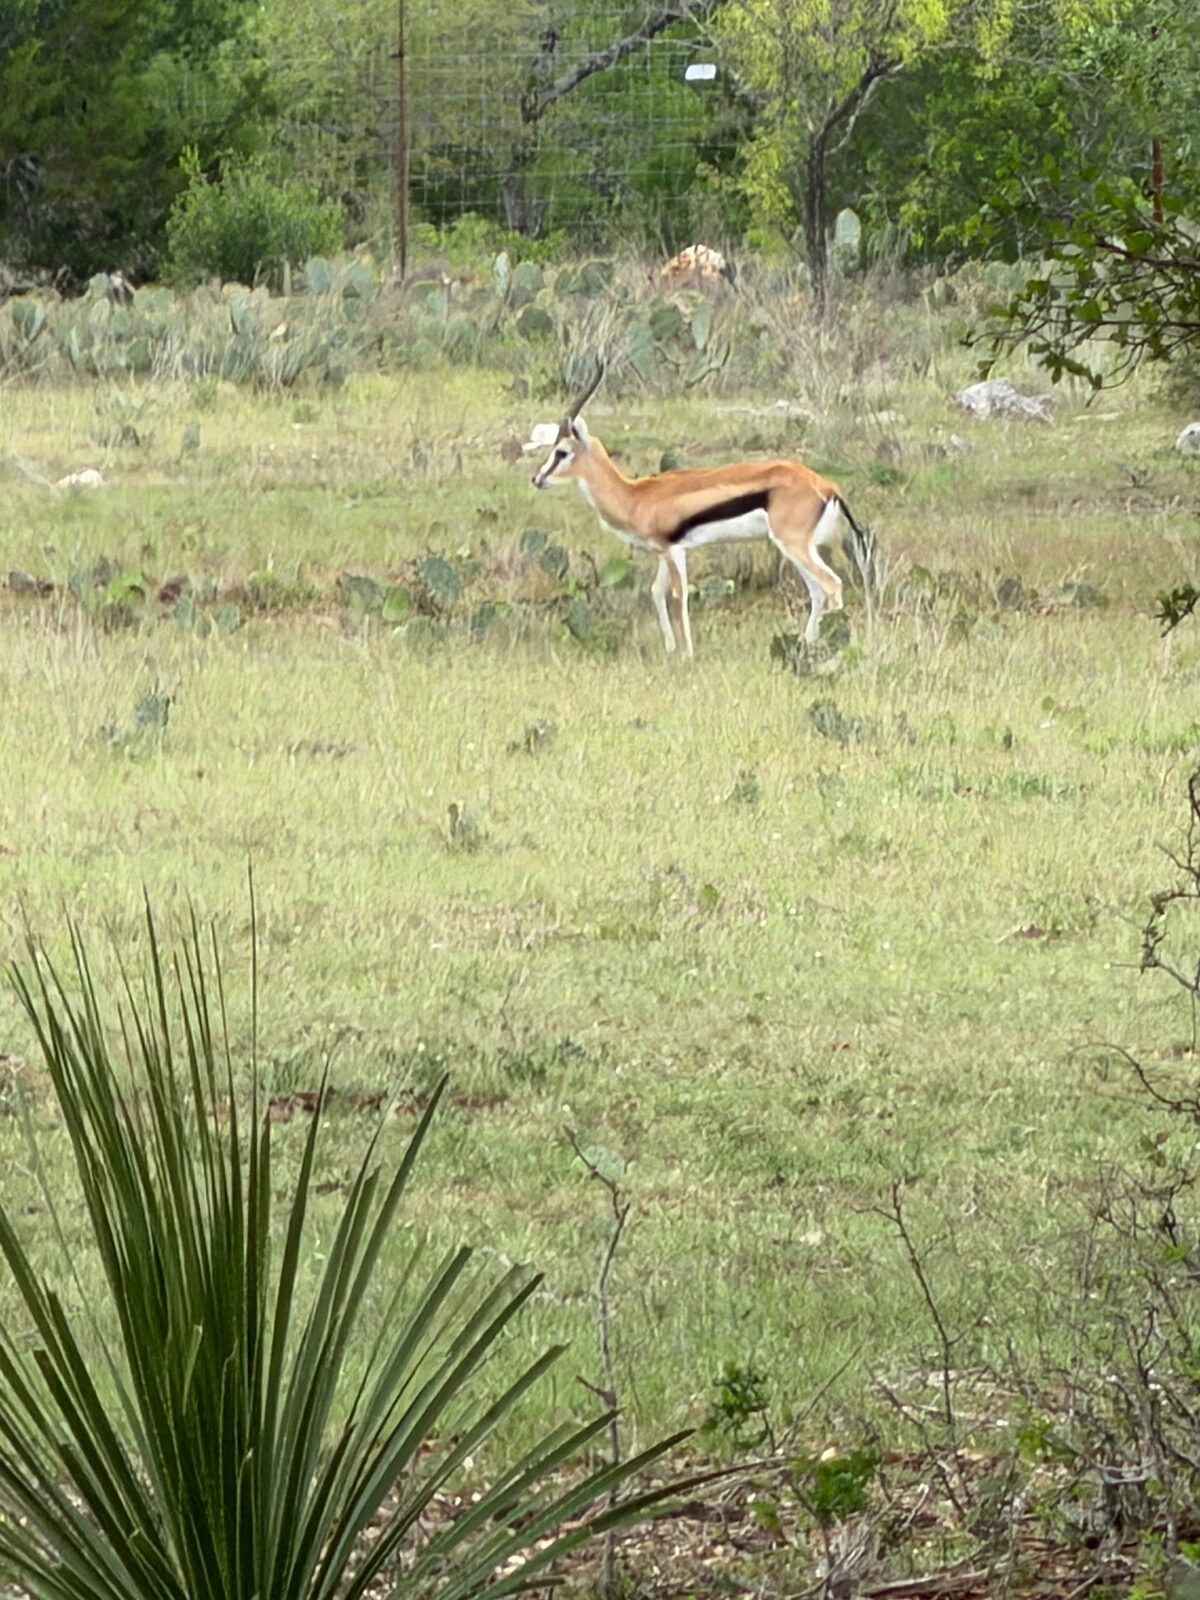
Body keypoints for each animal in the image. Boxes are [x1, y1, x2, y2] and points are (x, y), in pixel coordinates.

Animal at [531, 371, 874, 657]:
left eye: (561, 451)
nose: (536, 479)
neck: (636, 496)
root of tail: (826, 486)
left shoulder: (675, 551)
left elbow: (678, 595)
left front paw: (688, 654)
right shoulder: (663, 552)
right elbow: (656, 593)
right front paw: (671, 650)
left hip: (793, 545)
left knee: (832, 585)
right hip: (799, 548)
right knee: (817, 591)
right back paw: (808, 643)